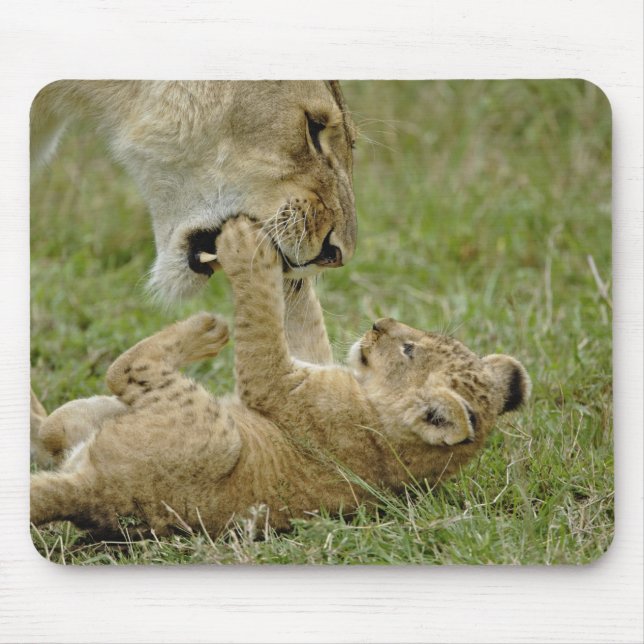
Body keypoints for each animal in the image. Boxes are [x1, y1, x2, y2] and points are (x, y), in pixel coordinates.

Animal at [30, 216, 531, 539]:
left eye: (408, 350)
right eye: (420, 338)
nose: (379, 324)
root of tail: (99, 495)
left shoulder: (278, 384)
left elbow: (262, 326)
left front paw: (247, 248)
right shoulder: (314, 363)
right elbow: (301, 320)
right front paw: (298, 255)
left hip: (215, 435)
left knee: (124, 369)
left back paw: (207, 329)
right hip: (88, 420)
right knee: (49, 432)